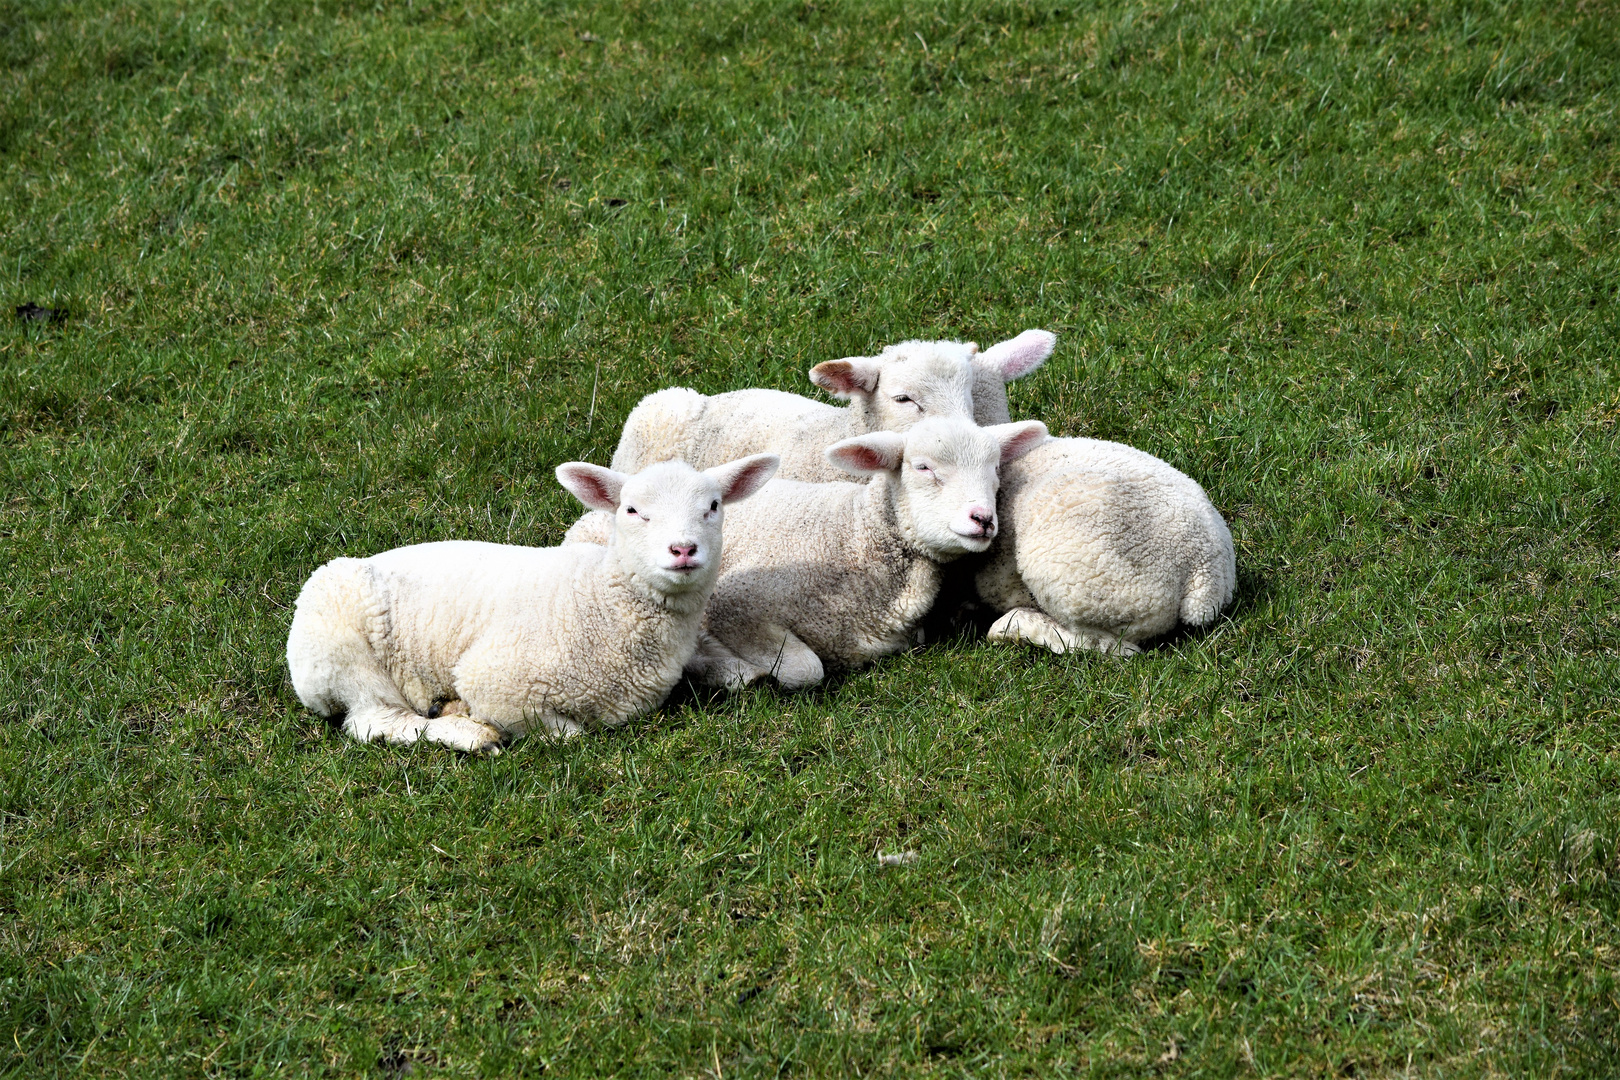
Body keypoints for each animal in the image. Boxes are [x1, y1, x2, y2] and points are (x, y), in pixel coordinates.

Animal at [285, 453, 777, 751]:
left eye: (713, 506)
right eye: (632, 510)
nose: (683, 549)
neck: (604, 601)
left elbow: (738, 674)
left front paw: (738, 669)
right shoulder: (497, 681)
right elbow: (570, 734)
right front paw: (482, 721)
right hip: (341, 650)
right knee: (374, 721)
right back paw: (465, 731)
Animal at [677, 414, 1043, 693]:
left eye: (995, 468)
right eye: (923, 467)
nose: (983, 518)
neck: (853, 536)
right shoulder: (735, 602)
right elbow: (806, 669)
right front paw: (723, 664)